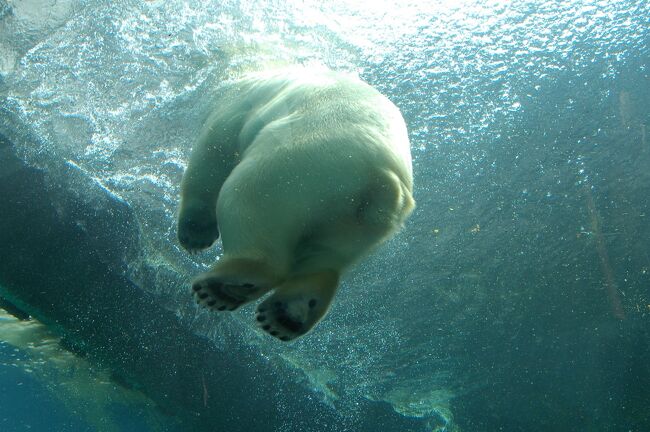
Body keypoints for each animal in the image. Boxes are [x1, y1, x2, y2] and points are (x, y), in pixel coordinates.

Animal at [176, 66, 410, 340]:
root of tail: (384, 182)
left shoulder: (238, 105)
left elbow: (213, 154)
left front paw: (195, 234)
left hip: (295, 167)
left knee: (245, 201)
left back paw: (225, 286)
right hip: (354, 223)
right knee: (325, 257)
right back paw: (286, 314)